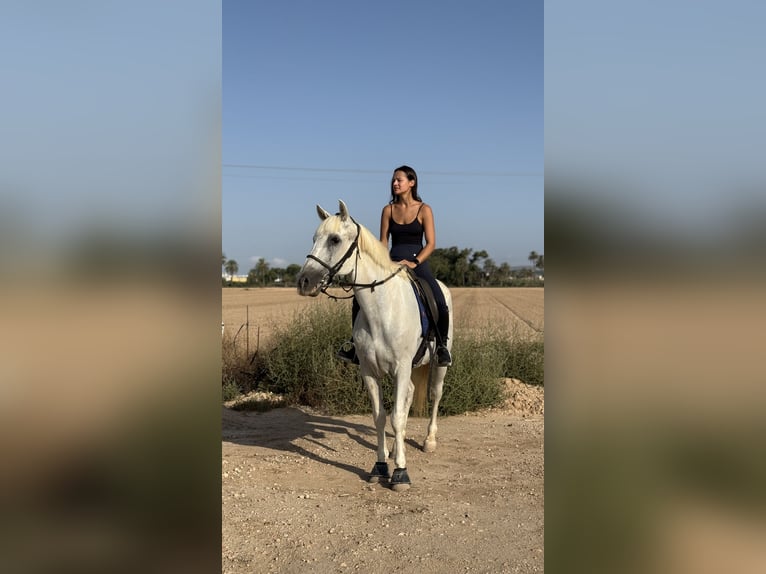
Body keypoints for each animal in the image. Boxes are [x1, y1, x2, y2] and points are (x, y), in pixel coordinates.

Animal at [296, 200, 453, 491]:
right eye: (314, 238)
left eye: (334, 239)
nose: (304, 282)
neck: (382, 308)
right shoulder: (369, 371)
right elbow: (381, 417)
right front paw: (381, 465)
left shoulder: (401, 368)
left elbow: (397, 416)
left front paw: (401, 473)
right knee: (409, 395)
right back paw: (396, 449)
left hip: (439, 364)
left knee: (435, 394)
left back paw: (429, 441)